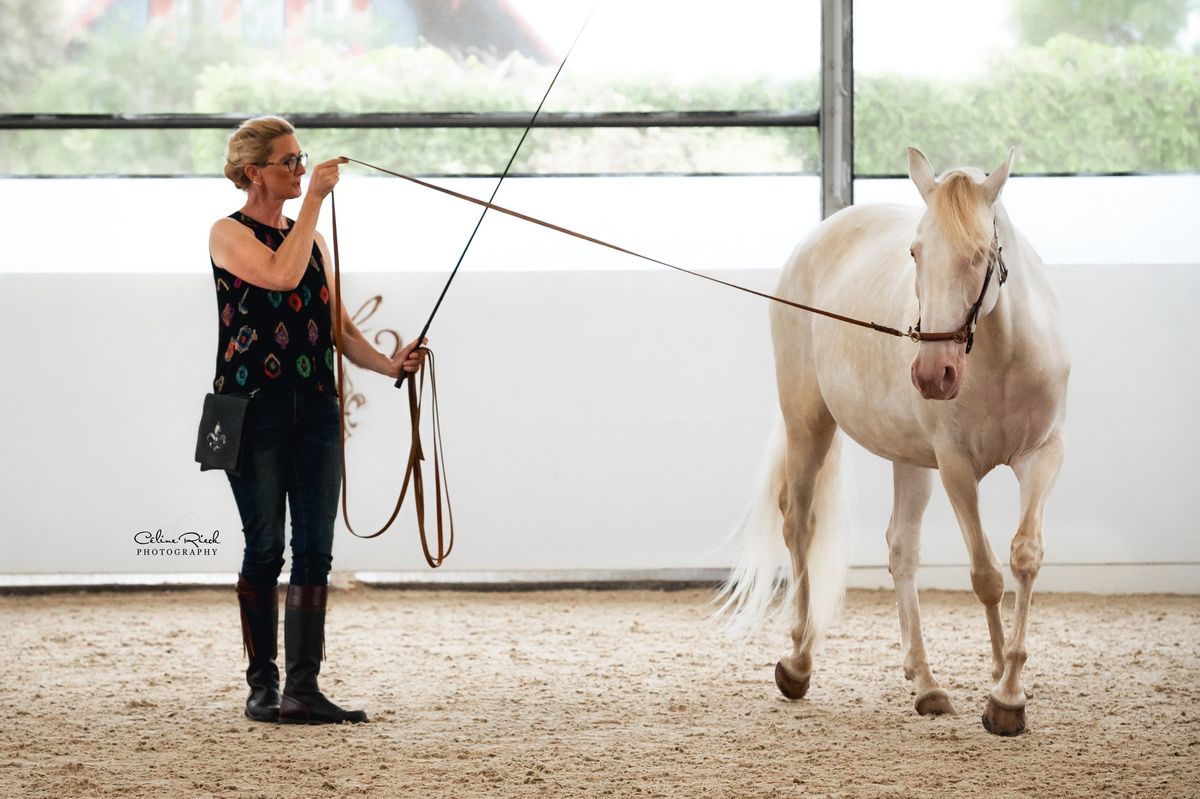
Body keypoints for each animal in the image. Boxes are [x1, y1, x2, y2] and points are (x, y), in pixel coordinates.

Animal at [720, 147, 1070, 734]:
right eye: (915, 251)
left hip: (911, 459)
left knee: (901, 548)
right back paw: (798, 662)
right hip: (808, 422)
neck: (1002, 355)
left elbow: (1024, 557)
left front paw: (1008, 683)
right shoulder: (955, 467)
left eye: (980, 254)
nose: (933, 374)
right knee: (799, 523)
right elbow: (985, 575)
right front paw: (1002, 693)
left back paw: (925, 683)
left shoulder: (1041, 457)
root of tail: (818, 237)